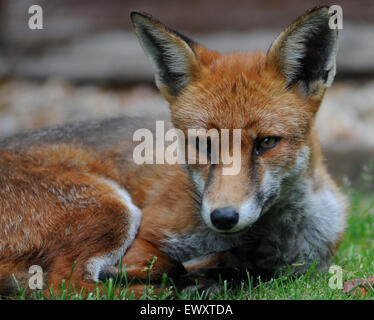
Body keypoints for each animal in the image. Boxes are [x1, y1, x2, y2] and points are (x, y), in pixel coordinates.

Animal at [0, 6, 348, 298]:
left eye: (266, 142)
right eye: (203, 144)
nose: (223, 217)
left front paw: (225, 269)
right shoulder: (146, 239)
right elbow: (168, 264)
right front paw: (208, 273)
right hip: (113, 210)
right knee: (65, 285)